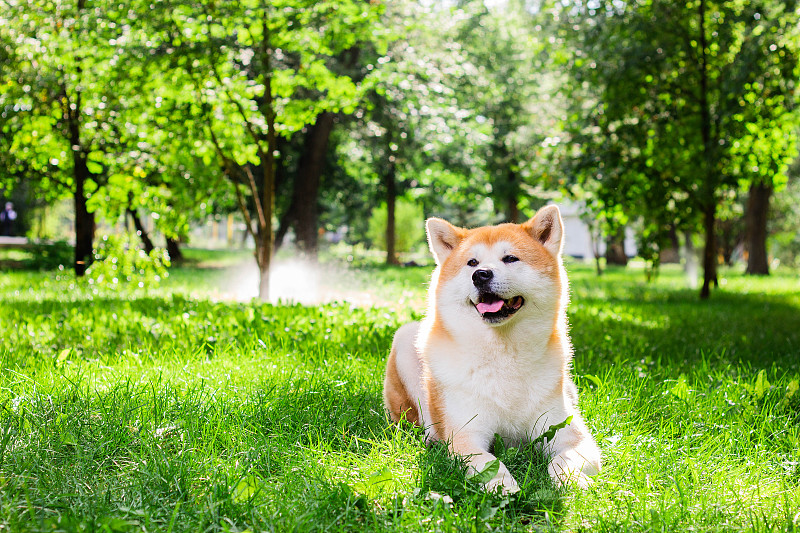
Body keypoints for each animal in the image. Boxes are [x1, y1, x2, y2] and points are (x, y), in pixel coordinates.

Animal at [382, 206, 600, 492]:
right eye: (472, 263)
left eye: (510, 258)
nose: (481, 275)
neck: (504, 354)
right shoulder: (467, 433)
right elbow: (487, 462)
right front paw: (503, 486)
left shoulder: (567, 432)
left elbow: (568, 458)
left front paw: (569, 480)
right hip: (406, 340)